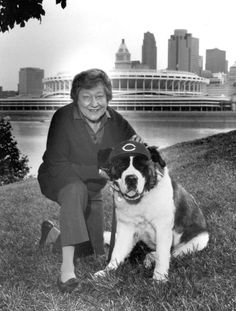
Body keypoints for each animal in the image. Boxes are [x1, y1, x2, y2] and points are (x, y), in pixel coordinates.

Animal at [95, 141, 209, 282]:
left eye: (142, 166)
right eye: (121, 165)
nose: (131, 178)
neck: (141, 200)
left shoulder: (163, 229)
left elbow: (162, 255)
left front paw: (159, 278)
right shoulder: (126, 229)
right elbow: (117, 252)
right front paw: (107, 272)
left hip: (199, 240)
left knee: (171, 253)